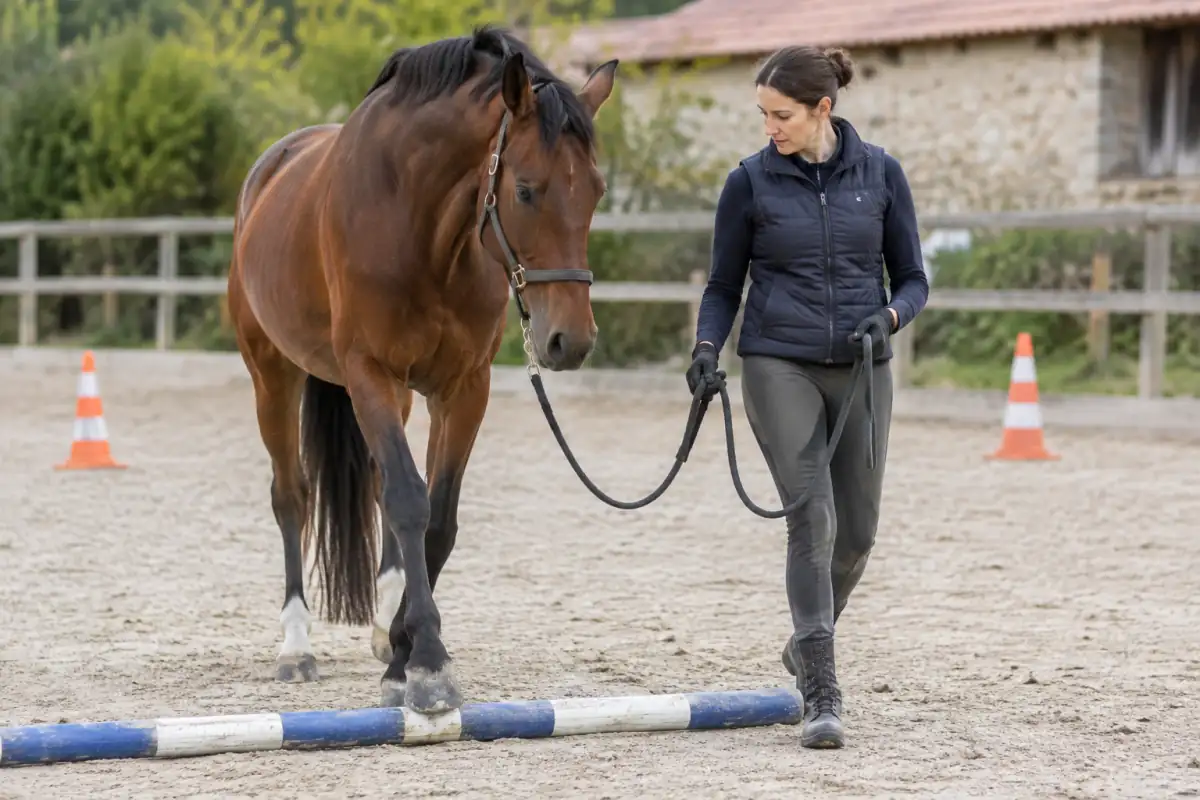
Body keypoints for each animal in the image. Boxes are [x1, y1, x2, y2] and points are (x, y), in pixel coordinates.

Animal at [225, 24, 618, 713]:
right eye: (525, 189)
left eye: (595, 190)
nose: (569, 341)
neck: (419, 223)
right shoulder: (369, 373)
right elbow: (410, 502)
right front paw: (428, 663)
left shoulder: (462, 388)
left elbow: (438, 517)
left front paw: (405, 653)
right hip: (273, 376)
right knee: (292, 496)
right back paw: (296, 645)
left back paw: (385, 626)